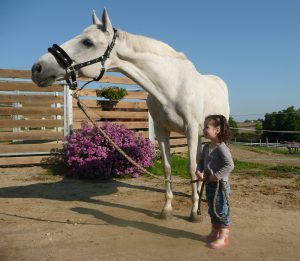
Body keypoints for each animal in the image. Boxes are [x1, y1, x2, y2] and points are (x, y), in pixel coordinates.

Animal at [31, 7, 230, 219]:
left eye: (88, 42)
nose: (37, 68)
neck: (172, 86)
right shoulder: (162, 131)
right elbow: (168, 168)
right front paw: (167, 209)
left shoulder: (190, 130)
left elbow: (191, 168)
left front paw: (193, 212)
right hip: (200, 135)